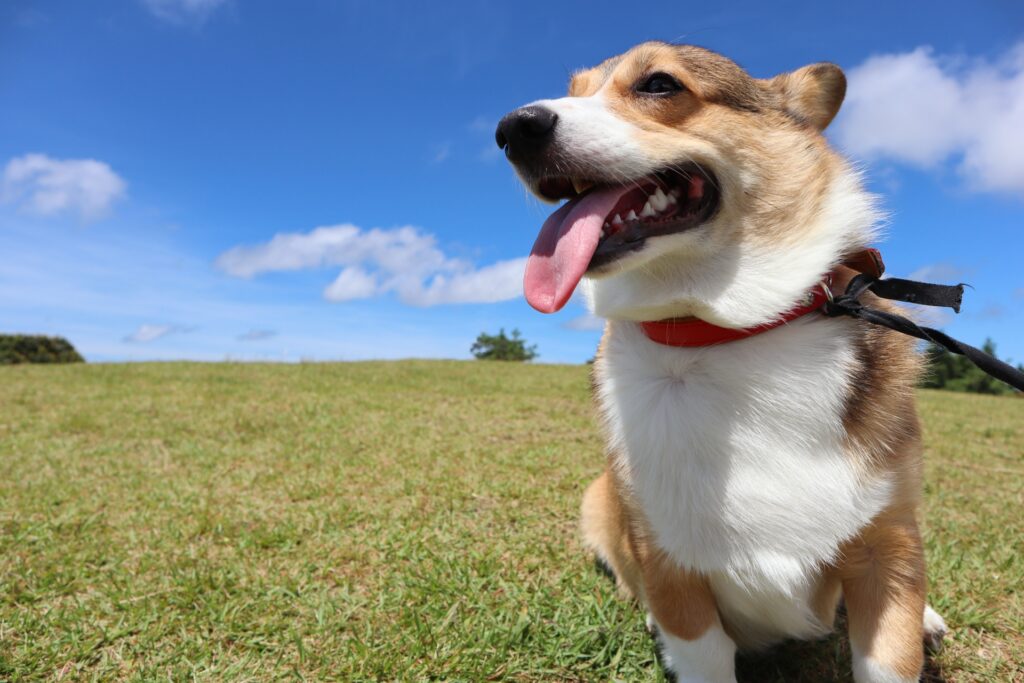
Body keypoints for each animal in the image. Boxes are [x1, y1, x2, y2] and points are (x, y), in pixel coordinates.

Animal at [499, 44, 946, 683]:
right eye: (575, 90)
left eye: (659, 84)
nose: (512, 129)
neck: (723, 331)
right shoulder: (670, 563)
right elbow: (702, 649)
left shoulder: (890, 543)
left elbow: (891, 655)